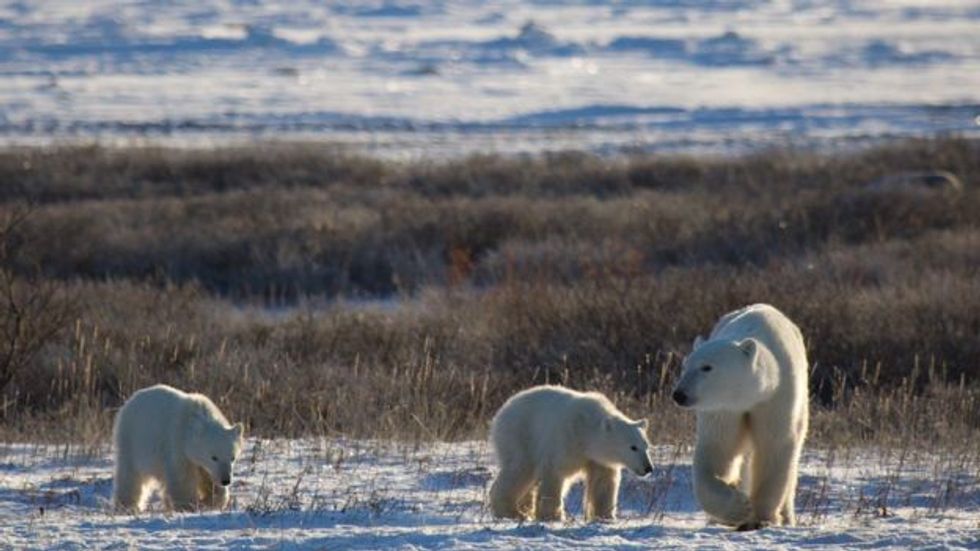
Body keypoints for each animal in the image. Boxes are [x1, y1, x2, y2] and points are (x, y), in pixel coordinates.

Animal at [112, 384, 245, 513]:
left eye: (232, 458)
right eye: (214, 457)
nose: (226, 480)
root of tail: (130, 400)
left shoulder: (200, 460)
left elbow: (208, 477)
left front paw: (211, 500)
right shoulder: (177, 444)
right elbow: (182, 478)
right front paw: (188, 506)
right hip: (131, 439)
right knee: (130, 474)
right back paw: (127, 506)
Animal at [488, 385, 654, 522]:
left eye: (646, 446)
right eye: (633, 447)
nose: (648, 468)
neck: (586, 430)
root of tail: (502, 410)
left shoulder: (598, 458)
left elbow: (603, 482)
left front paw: (605, 517)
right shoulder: (565, 440)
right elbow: (554, 474)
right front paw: (553, 516)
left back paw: (524, 510)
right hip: (520, 436)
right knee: (519, 470)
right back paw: (513, 512)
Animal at [671, 303, 809, 531]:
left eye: (707, 367)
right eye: (685, 366)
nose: (679, 394)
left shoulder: (777, 396)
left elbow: (774, 446)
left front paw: (761, 517)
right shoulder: (723, 408)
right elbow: (718, 449)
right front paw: (738, 507)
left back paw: (788, 517)